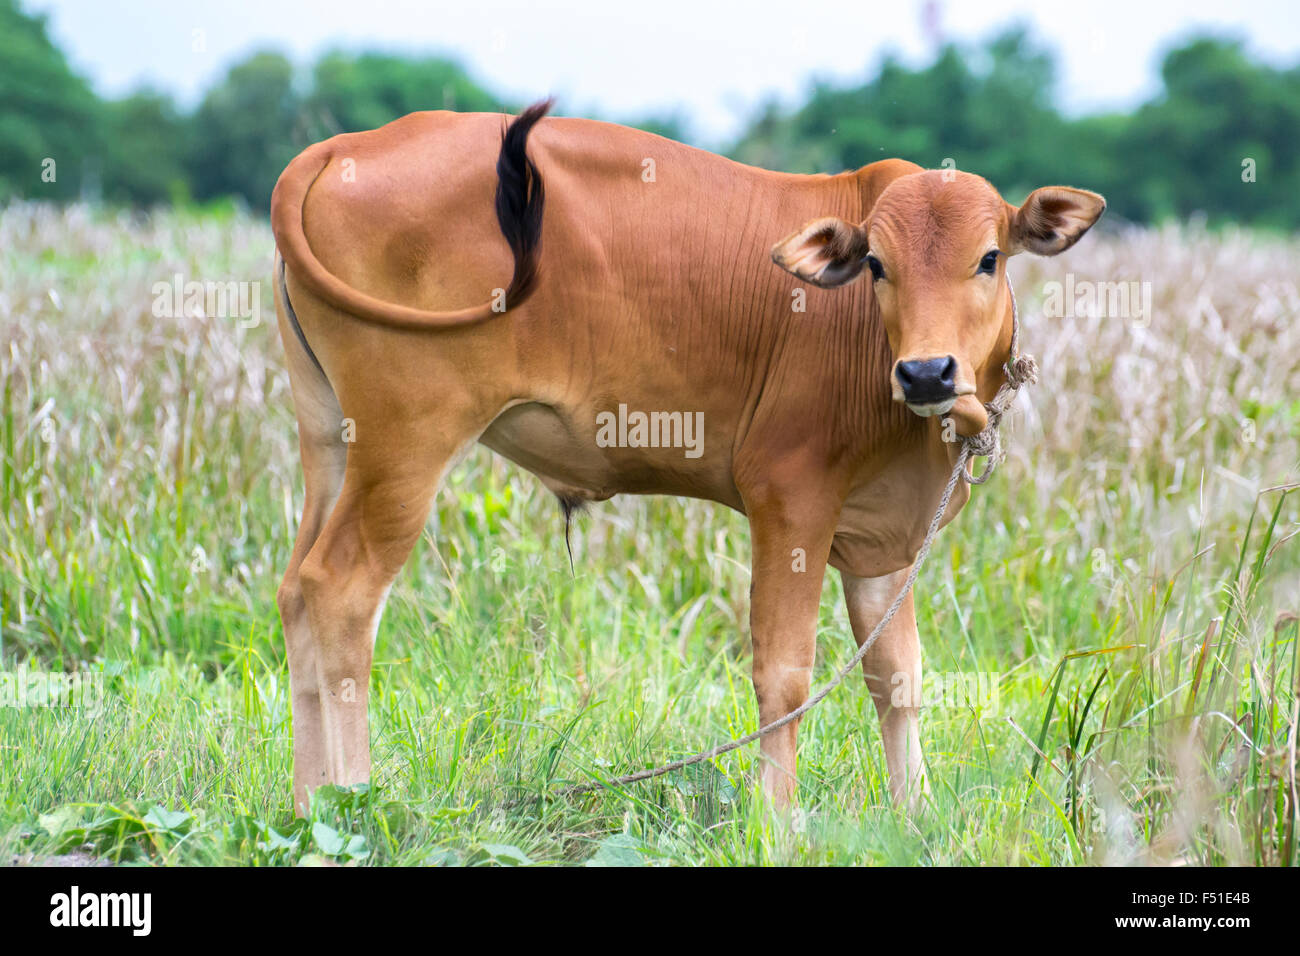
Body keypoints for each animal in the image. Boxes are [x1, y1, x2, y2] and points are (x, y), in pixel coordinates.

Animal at [269, 100, 1105, 815]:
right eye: (877, 265)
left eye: (989, 258)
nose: (927, 373)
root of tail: (339, 149)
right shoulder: (789, 500)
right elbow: (784, 675)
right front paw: (778, 822)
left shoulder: (884, 537)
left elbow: (896, 675)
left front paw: (914, 816)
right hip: (408, 447)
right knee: (341, 591)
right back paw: (355, 802)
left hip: (331, 440)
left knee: (297, 591)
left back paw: (311, 808)